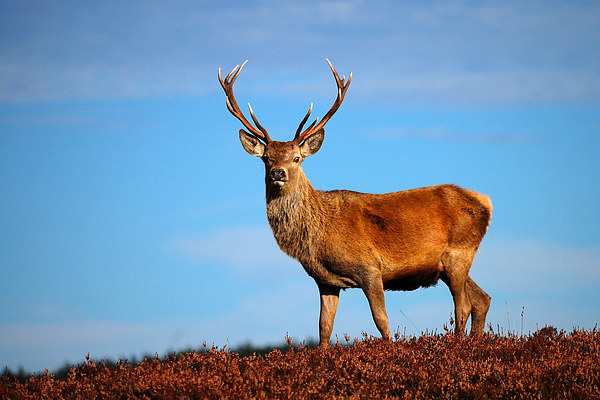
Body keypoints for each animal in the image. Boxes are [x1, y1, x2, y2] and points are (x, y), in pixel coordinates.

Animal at [218, 60, 490, 346]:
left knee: (464, 304)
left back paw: (458, 344)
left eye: (296, 158)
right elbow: (324, 327)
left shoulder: (369, 267)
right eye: (266, 158)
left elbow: (381, 319)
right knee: (482, 299)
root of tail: (485, 203)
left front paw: (390, 349)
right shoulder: (326, 281)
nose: (277, 173)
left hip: (459, 253)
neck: (318, 235)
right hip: (449, 265)